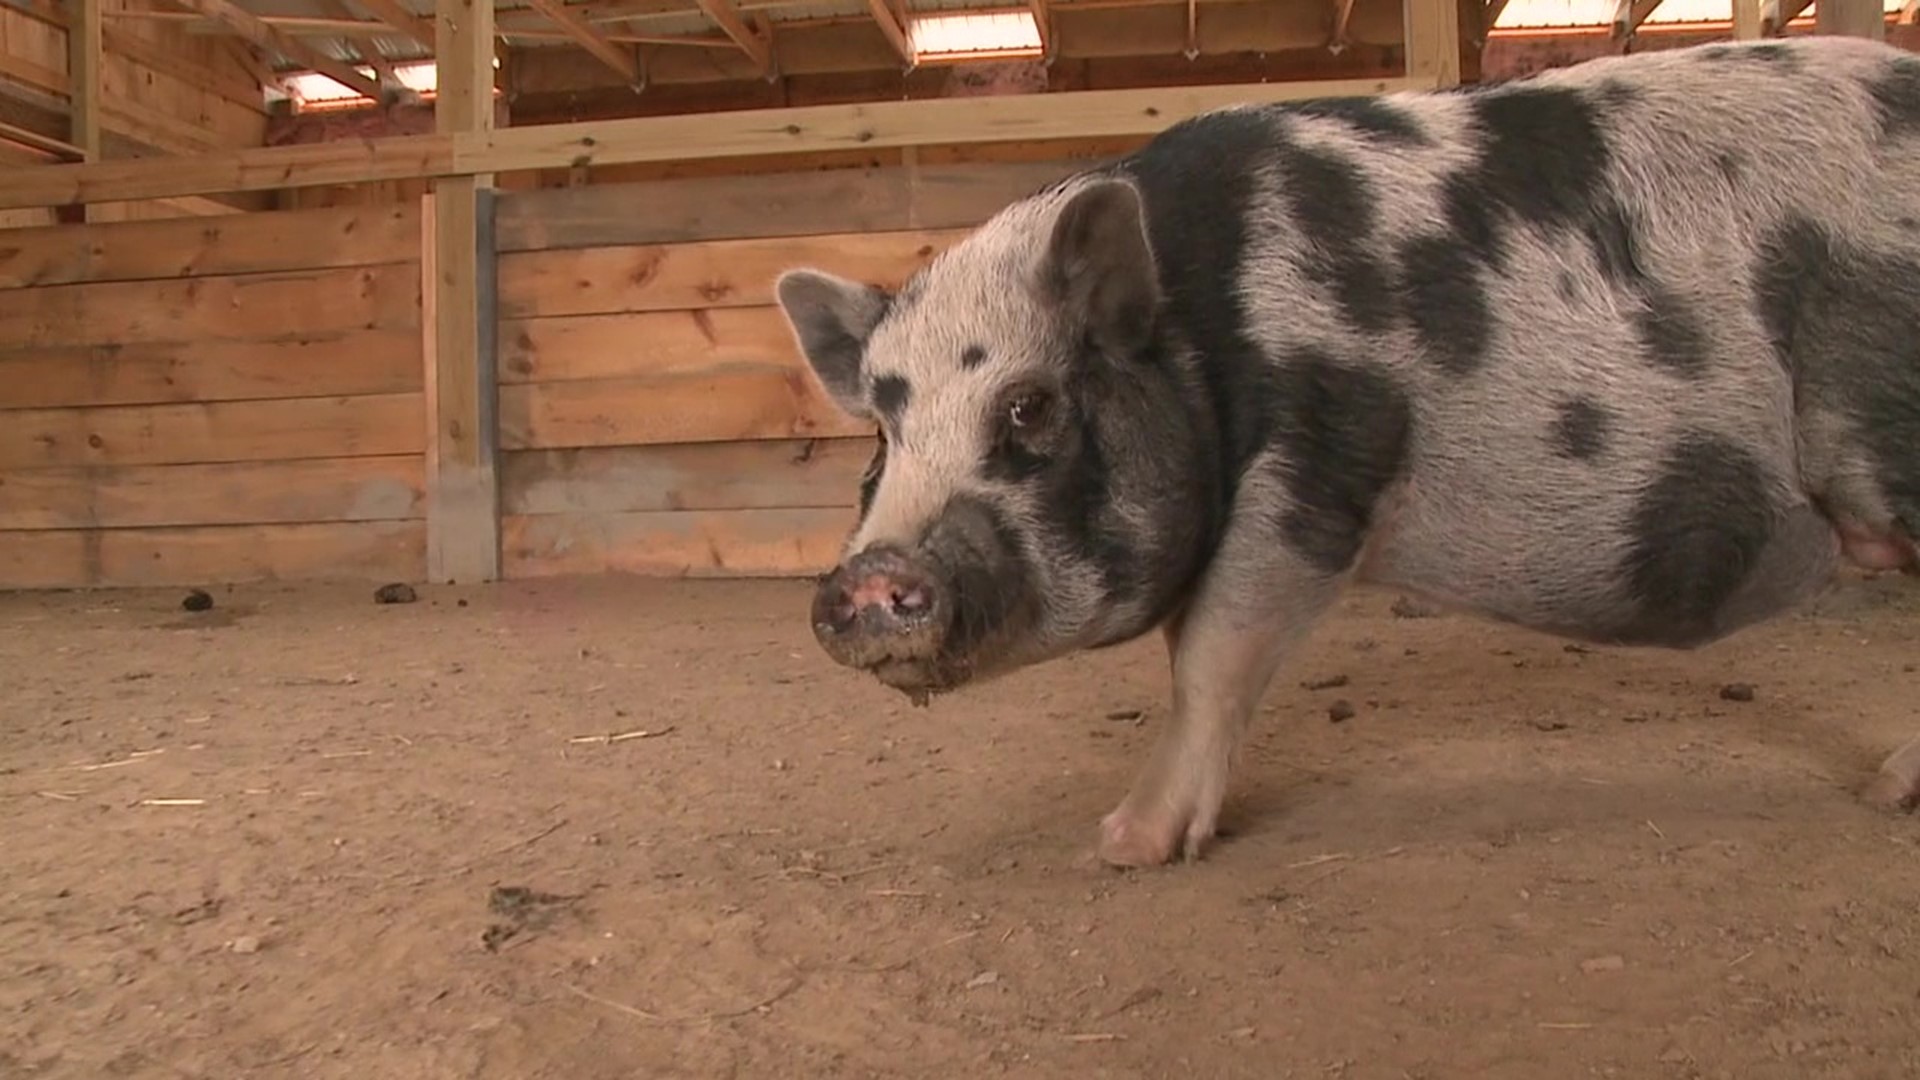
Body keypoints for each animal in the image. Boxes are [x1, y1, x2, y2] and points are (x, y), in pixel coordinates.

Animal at [768, 35, 1920, 864]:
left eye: (1028, 406)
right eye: (881, 429)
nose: (868, 575)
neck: (1202, 345)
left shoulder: (1317, 466)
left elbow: (1209, 661)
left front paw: (1124, 847)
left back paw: (1887, 795)